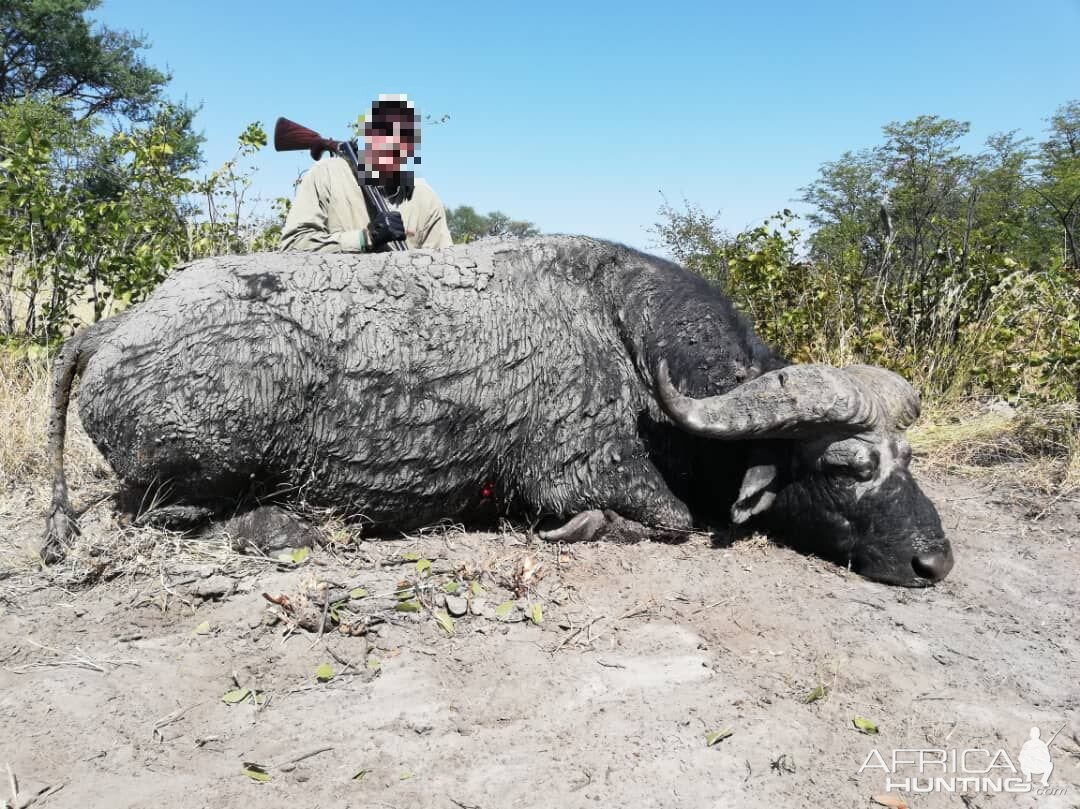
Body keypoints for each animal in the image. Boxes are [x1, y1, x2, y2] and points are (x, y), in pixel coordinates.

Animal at [42, 236, 954, 583]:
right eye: (845, 464)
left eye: (908, 460)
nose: (934, 562)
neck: (625, 335)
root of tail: (117, 327)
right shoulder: (580, 473)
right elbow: (666, 521)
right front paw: (587, 529)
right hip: (200, 469)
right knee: (158, 516)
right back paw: (289, 525)